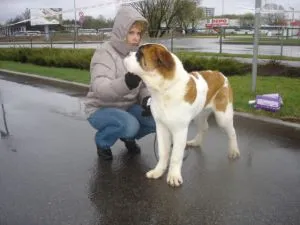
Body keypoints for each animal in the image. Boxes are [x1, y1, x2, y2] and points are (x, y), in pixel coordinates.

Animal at [123, 43, 240, 187]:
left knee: (232, 132)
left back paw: (234, 150)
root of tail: (221, 74)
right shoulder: (161, 127)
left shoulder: (180, 130)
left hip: (223, 116)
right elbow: (163, 152)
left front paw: (173, 176)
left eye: (140, 54)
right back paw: (196, 142)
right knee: (204, 127)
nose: (127, 53)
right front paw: (158, 171)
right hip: (199, 115)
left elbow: (176, 155)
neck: (164, 90)